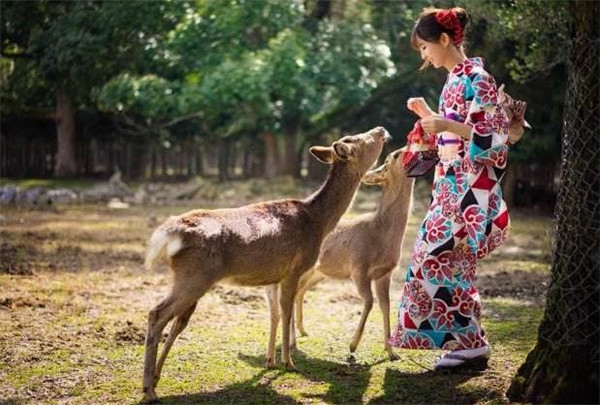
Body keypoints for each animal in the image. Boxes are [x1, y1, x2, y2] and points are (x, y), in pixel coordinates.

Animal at [142, 126, 392, 400]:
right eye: (361, 140)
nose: (381, 130)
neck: (319, 222)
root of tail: (169, 233)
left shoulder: (274, 276)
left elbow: (275, 315)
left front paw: (270, 361)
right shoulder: (294, 269)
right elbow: (286, 313)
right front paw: (289, 363)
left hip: (190, 277)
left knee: (177, 320)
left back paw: (155, 378)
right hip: (194, 275)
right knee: (157, 314)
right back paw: (148, 388)